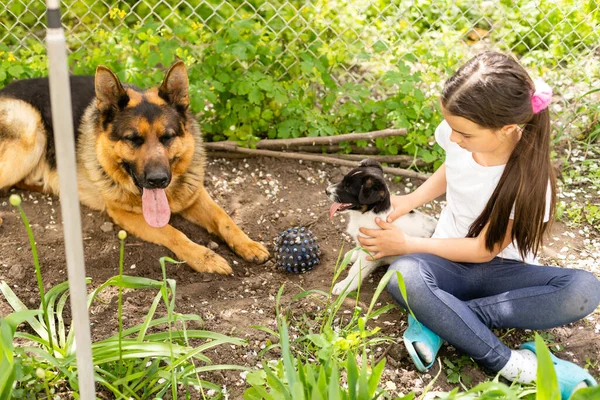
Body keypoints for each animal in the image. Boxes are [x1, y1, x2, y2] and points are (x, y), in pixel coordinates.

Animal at [0, 61, 268, 276]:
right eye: (133, 139)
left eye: (167, 137)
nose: (158, 180)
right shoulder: (124, 213)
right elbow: (173, 232)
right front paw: (205, 257)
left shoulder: (193, 195)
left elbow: (224, 218)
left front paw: (248, 244)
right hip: (30, 130)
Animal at [328, 159, 436, 294]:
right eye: (343, 180)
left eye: (348, 187)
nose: (326, 191)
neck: (366, 214)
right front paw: (353, 255)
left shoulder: (370, 251)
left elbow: (355, 270)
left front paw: (344, 286)